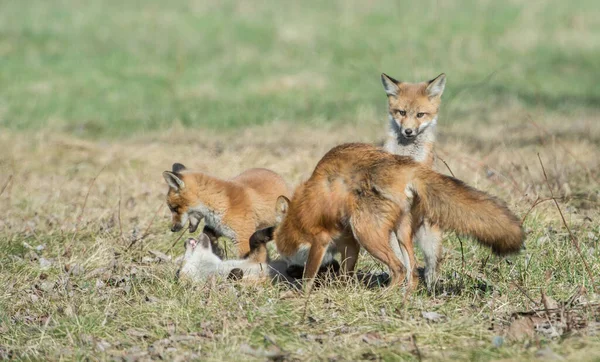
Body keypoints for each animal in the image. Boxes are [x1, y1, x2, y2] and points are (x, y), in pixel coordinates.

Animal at [251, 144, 524, 292]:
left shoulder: (321, 238)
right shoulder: (349, 242)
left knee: (400, 269)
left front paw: (301, 294)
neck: (297, 216)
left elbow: (310, 274)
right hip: (399, 233)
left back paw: (385, 294)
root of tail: (405, 165)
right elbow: (346, 273)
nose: (290, 270)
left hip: (367, 232)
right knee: (412, 271)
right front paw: (343, 289)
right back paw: (405, 296)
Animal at [382, 73, 448, 288]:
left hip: (431, 242)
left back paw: (430, 285)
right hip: (394, 240)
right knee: (403, 264)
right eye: (401, 112)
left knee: (430, 267)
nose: (408, 131)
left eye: (420, 115)